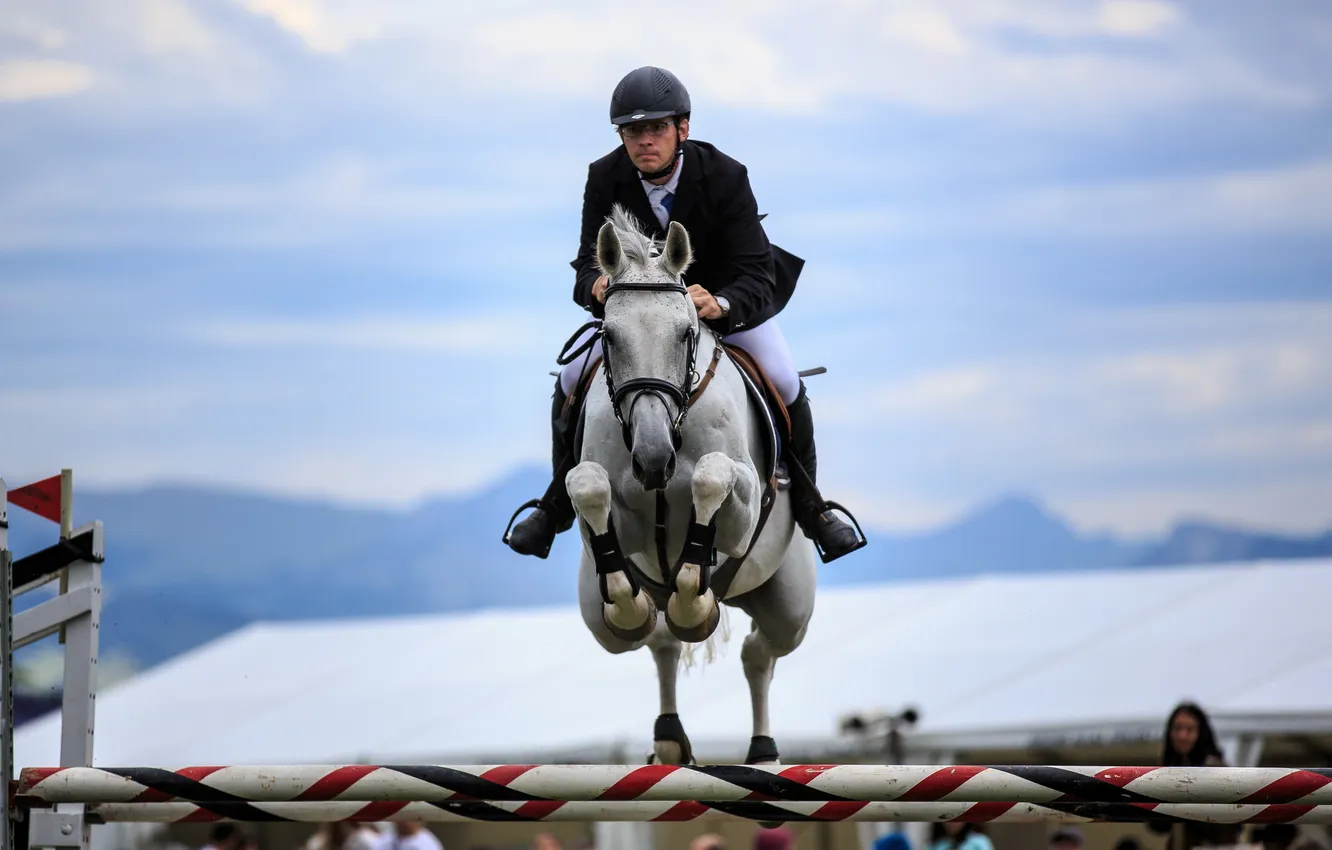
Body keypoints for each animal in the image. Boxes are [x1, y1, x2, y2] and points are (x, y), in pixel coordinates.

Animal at [565, 205, 817, 766]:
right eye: (609, 337)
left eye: (685, 333)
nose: (654, 459)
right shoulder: (616, 515)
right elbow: (588, 486)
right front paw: (654, 603)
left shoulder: (743, 510)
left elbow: (711, 474)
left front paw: (694, 599)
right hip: (595, 615)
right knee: (658, 639)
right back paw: (668, 733)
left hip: (789, 603)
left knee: (759, 652)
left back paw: (764, 752)